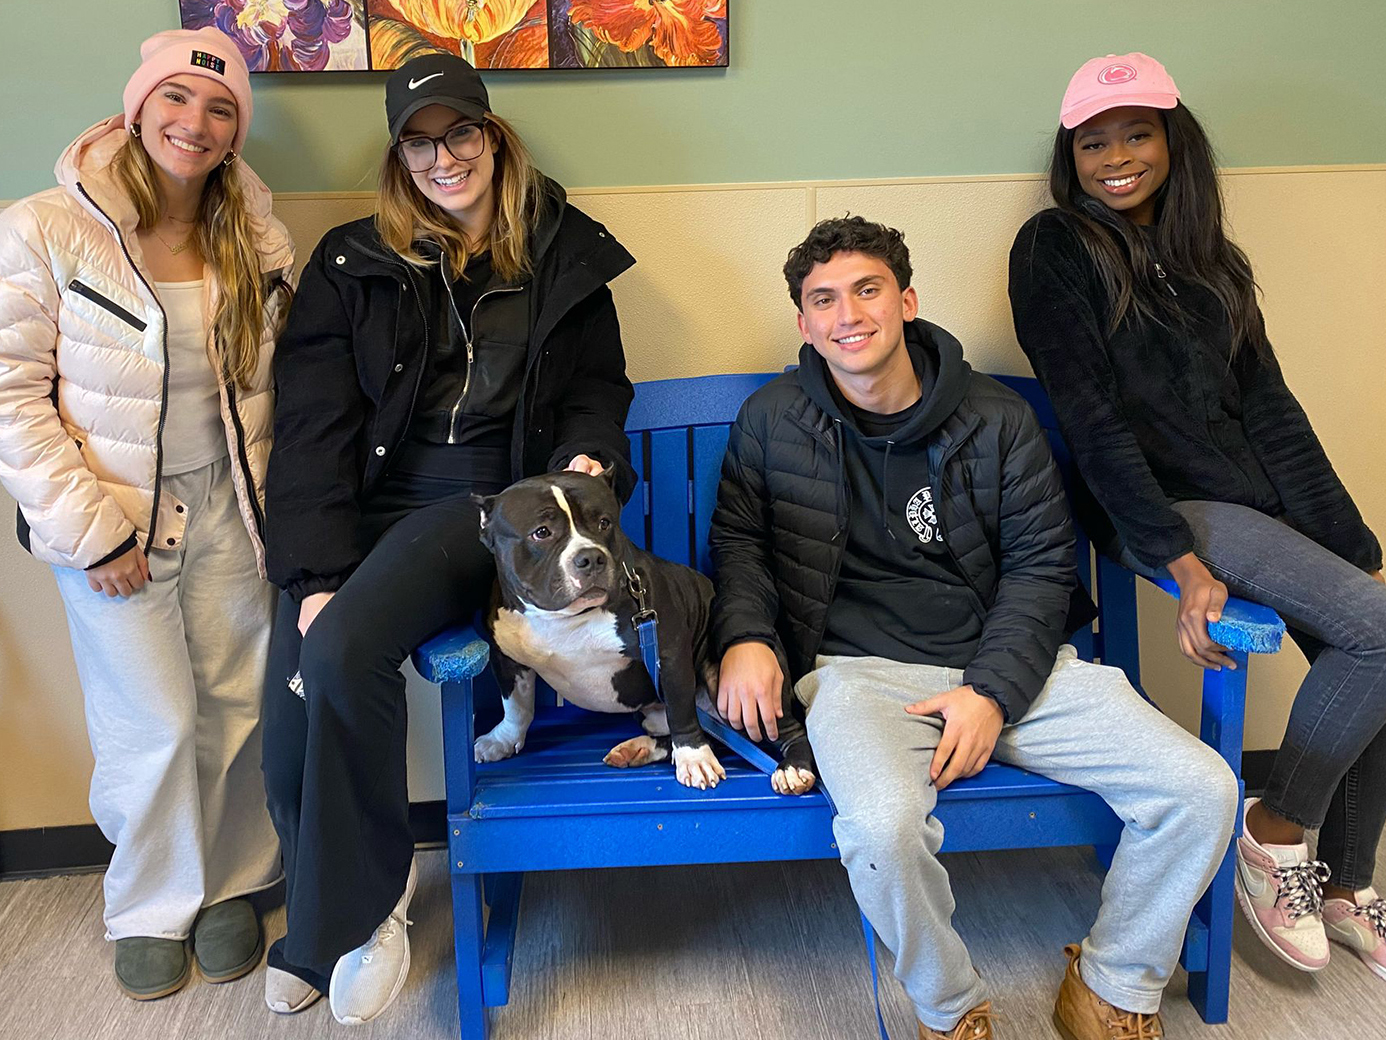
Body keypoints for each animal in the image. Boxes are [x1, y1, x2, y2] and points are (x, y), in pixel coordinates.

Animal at [471, 471, 814, 798]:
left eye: (604, 522)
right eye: (541, 532)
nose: (590, 557)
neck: (566, 618)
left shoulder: (669, 653)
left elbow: (681, 712)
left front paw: (694, 759)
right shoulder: (505, 657)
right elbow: (516, 705)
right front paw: (503, 739)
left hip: (737, 689)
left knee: (787, 730)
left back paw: (793, 769)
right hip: (653, 715)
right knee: (709, 736)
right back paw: (639, 748)